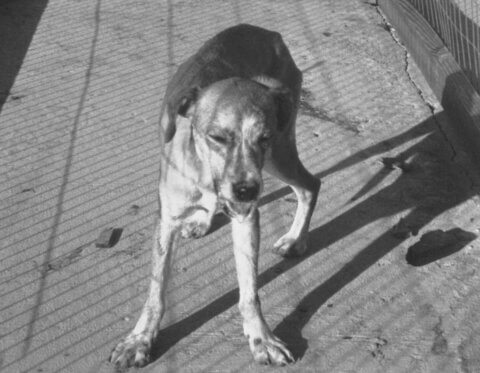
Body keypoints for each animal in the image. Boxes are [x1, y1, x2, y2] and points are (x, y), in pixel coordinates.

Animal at [110, 24, 320, 370]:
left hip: (279, 153)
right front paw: (140, 339)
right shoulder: (166, 220)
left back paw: (295, 239)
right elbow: (156, 291)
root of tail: (270, 34)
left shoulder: (246, 217)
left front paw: (261, 337)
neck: (208, 173)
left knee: (310, 185)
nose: (247, 190)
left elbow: (249, 291)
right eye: (217, 137)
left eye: (263, 137)